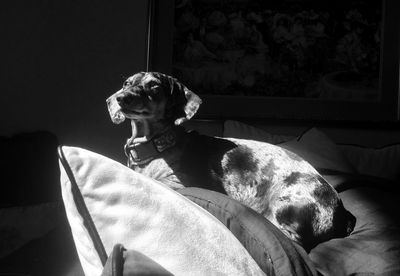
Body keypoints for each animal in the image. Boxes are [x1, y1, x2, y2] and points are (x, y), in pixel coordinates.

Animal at [106, 71, 356, 252]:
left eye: (154, 87)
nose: (121, 97)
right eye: (126, 83)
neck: (156, 146)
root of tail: (341, 211)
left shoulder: (181, 183)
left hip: (284, 206)